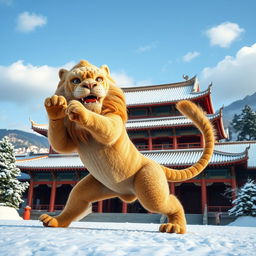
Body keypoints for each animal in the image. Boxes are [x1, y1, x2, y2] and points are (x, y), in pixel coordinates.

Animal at [39, 60, 214, 234]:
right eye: (75, 80)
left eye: (99, 79)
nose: (90, 84)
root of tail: (156, 163)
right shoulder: (71, 140)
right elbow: (61, 145)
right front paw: (55, 107)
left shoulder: (113, 120)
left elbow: (106, 128)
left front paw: (79, 109)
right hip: (101, 184)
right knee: (77, 197)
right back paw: (54, 221)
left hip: (148, 182)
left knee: (168, 201)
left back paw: (175, 226)